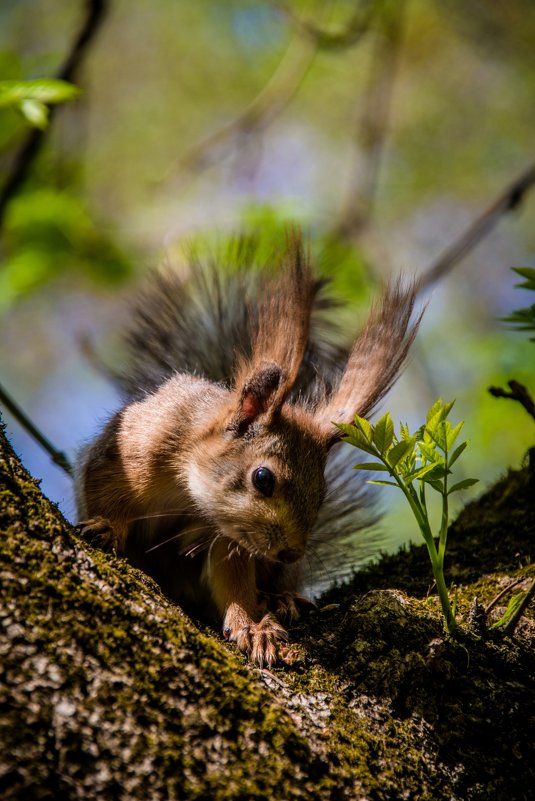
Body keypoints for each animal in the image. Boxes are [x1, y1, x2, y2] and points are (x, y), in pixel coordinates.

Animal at [75, 233, 420, 668]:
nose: (290, 554)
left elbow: (233, 581)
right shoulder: (132, 449)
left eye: (322, 495)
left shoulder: (228, 539)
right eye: (263, 478)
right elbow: (105, 493)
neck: (188, 489)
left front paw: (253, 626)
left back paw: (281, 598)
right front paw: (107, 526)